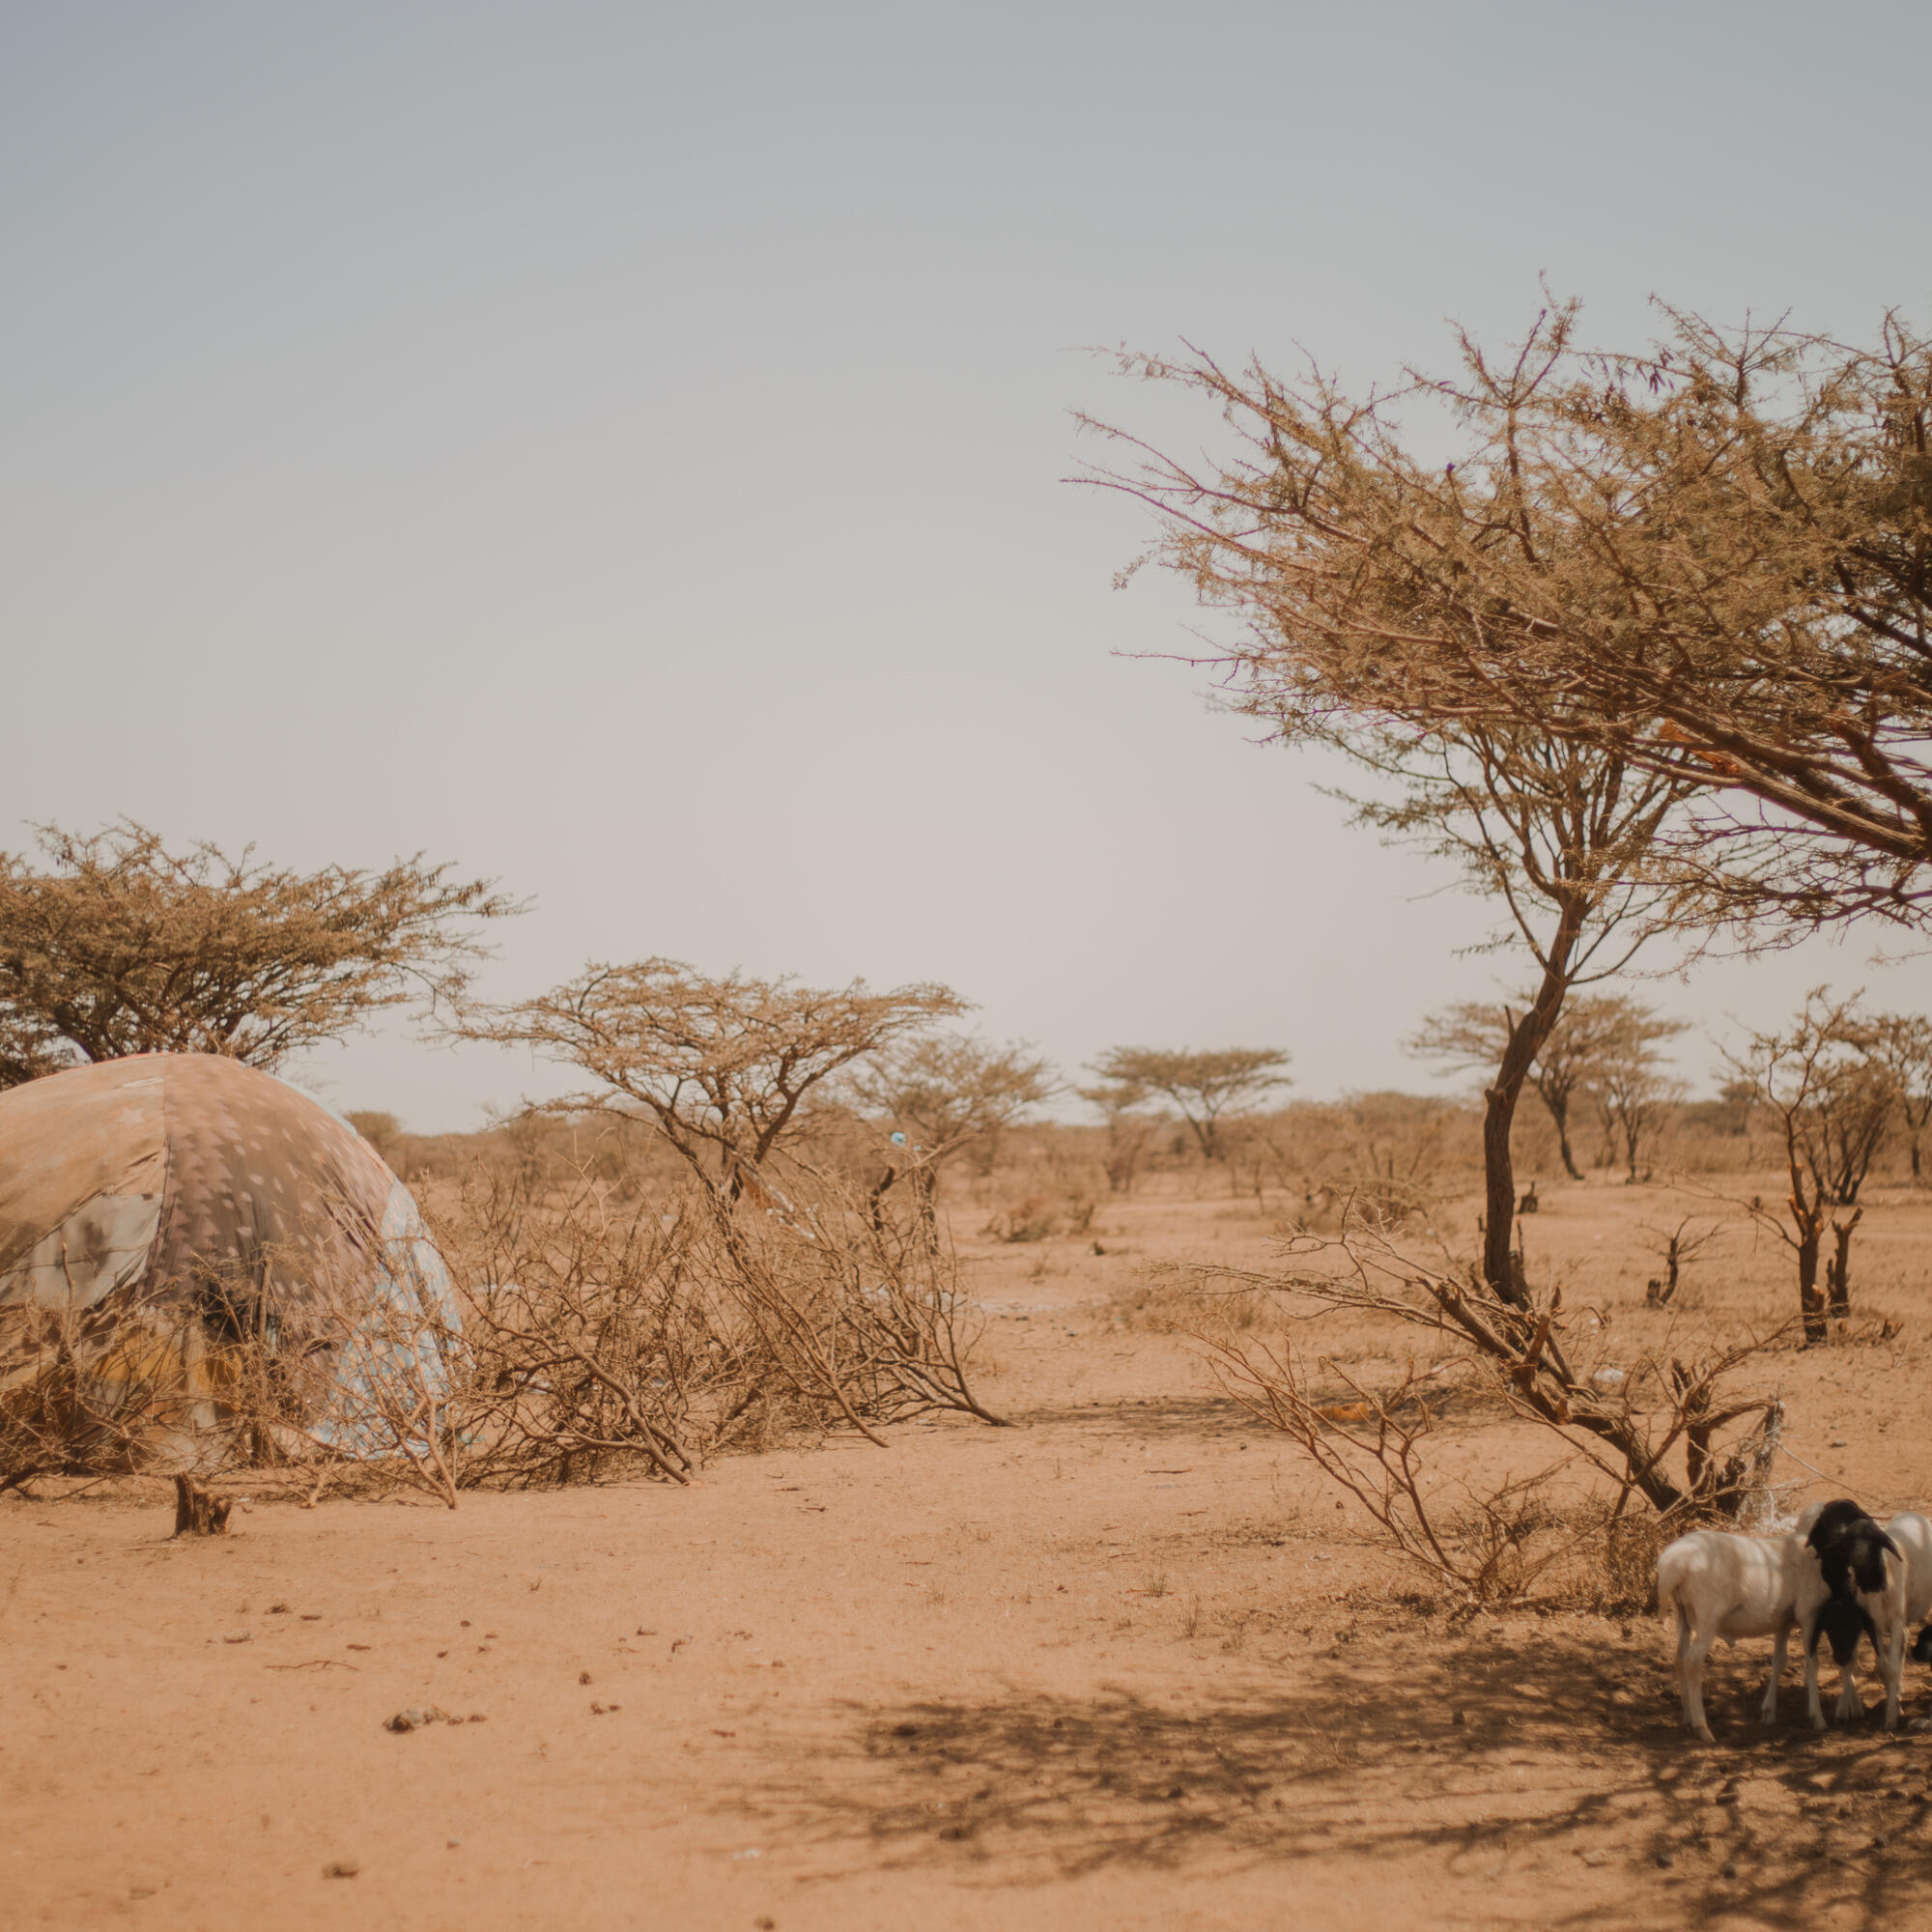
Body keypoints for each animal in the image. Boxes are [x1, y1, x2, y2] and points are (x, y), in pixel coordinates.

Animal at [1662, 1530, 1824, 1747]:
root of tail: (1673, 1563)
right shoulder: (1810, 1613)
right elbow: (1812, 1663)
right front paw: (1818, 1718)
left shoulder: (1784, 1621)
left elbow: (1779, 1660)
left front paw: (1769, 1713)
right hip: (1708, 1614)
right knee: (1692, 1662)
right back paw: (1702, 1728)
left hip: (1681, 1612)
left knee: (1679, 1659)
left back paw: (1688, 1720)